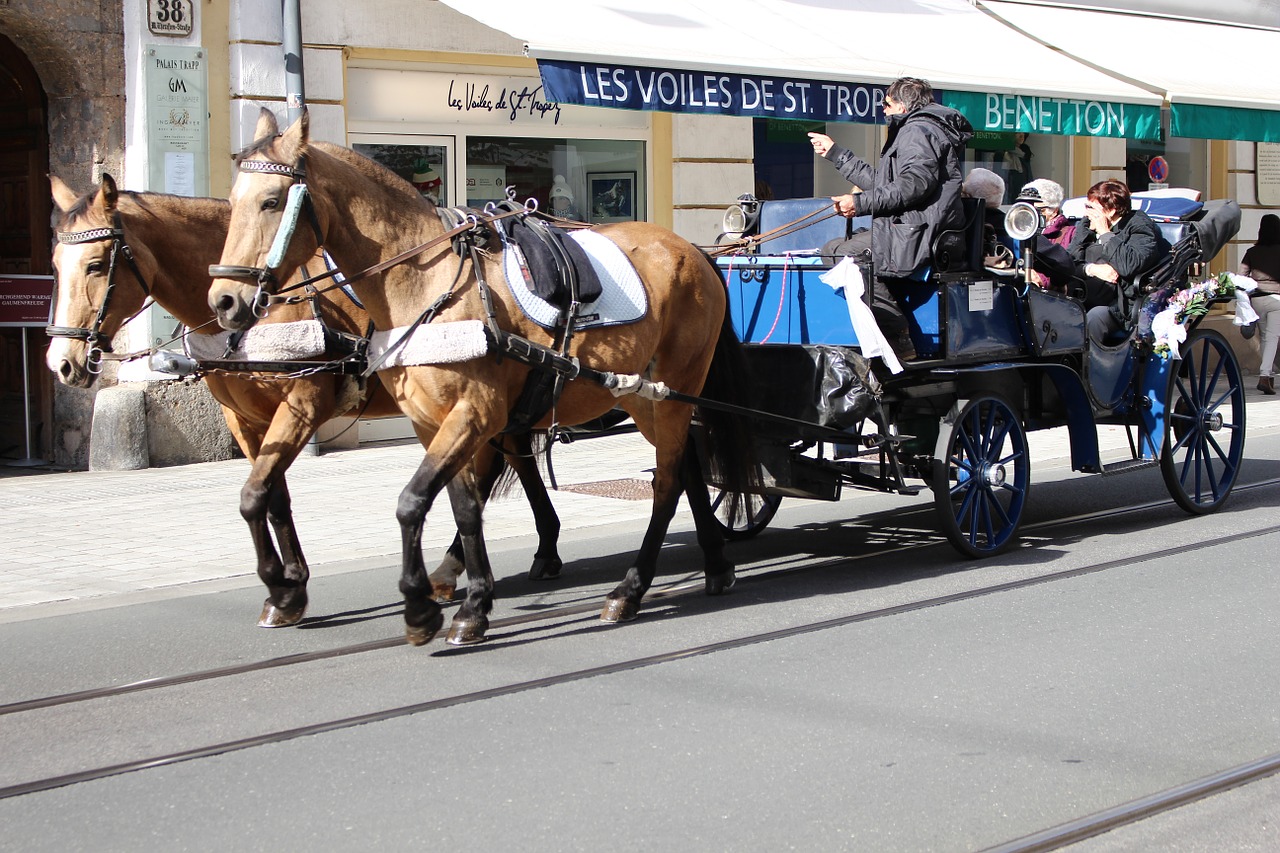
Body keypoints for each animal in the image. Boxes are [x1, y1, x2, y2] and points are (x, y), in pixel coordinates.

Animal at [51, 172, 560, 625]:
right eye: (55, 264)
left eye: (96, 265)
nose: (62, 362)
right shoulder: (245, 420)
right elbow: (272, 496)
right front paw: (292, 585)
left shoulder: (302, 405)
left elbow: (254, 495)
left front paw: (281, 589)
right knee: (509, 462)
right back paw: (526, 552)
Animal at [204, 109, 752, 645]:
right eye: (232, 201)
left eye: (272, 200)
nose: (225, 301)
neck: (426, 283)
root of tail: (692, 250)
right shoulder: (435, 423)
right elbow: (463, 506)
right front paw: (473, 604)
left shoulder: (473, 414)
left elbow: (411, 502)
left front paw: (420, 607)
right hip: (644, 396)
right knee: (684, 467)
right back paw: (714, 566)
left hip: (674, 391)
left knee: (666, 483)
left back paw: (631, 589)